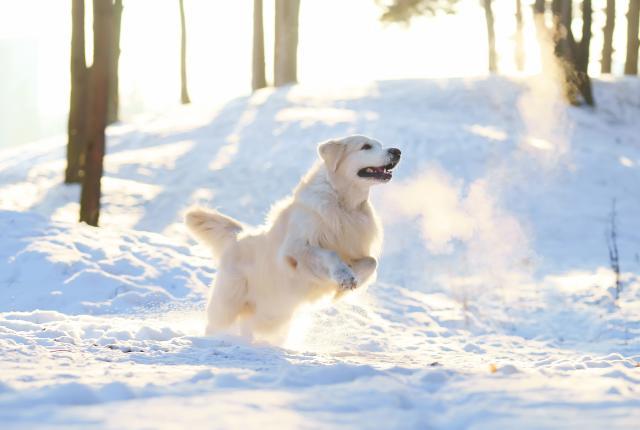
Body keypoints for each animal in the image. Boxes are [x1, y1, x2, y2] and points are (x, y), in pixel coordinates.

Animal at [184, 135, 400, 342]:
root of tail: (237, 237)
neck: (344, 205)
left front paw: (347, 284)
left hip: (276, 317)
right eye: (366, 146)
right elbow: (330, 253)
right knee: (216, 324)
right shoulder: (295, 250)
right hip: (229, 302)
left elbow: (371, 262)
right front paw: (344, 276)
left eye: (380, 144)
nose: (397, 151)